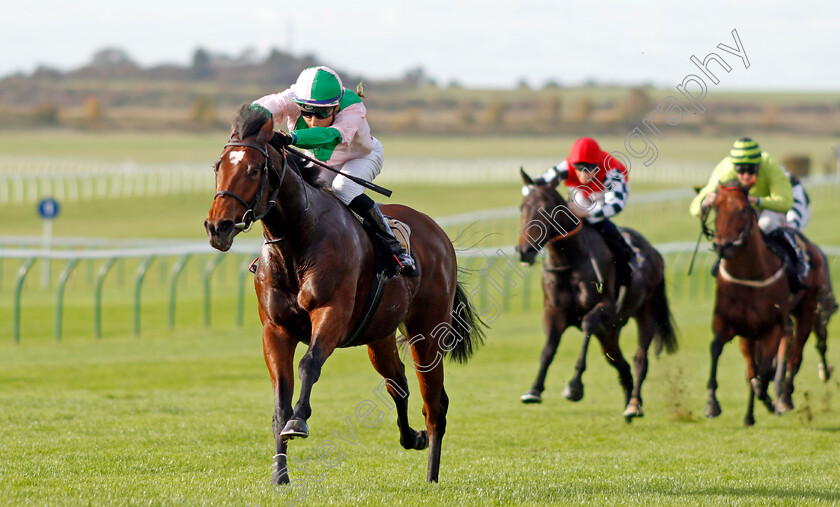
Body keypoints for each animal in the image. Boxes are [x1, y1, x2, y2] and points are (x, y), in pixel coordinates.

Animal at [203, 104, 486, 484]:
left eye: (253, 169)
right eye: (218, 167)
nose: (217, 227)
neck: (297, 241)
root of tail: (438, 233)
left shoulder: (332, 312)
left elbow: (309, 365)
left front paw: (299, 421)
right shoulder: (275, 329)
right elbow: (280, 396)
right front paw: (280, 476)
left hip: (427, 332)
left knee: (435, 403)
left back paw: (431, 475)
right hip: (379, 336)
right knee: (397, 383)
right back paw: (412, 438)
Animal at [516, 170, 680, 420]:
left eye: (546, 209)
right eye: (522, 206)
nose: (523, 251)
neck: (570, 261)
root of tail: (654, 252)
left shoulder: (606, 308)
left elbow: (587, 324)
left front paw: (575, 386)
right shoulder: (554, 312)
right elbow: (548, 350)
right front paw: (534, 390)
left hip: (645, 314)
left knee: (640, 360)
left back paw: (634, 404)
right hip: (610, 333)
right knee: (621, 364)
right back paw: (629, 402)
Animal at [704, 183, 832, 424]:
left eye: (743, 210)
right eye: (715, 209)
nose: (723, 246)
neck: (749, 275)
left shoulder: (773, 327)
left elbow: (764, 372)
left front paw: (769, 397)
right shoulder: (729, 323)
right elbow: (717, 350)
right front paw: (712, 404)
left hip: (807, 309)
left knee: (796, 356)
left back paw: (786, 397)